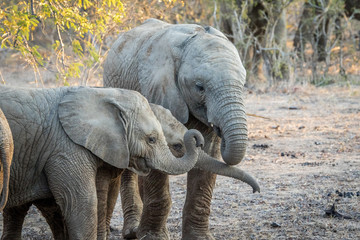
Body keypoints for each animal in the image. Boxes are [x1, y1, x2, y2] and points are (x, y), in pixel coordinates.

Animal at [0, 85, 205, 239]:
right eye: (151, 139)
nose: (197, 139)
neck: (104, 93)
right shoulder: (66, 149)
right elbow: (82, 203)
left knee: (16, 212)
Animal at [104, 17, 255, 239]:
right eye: (200, 87)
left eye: (243, 85)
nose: (219, 129)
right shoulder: (155, 89)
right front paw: (153, 237)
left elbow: (209, 155)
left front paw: (199, 238)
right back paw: (132, 232)